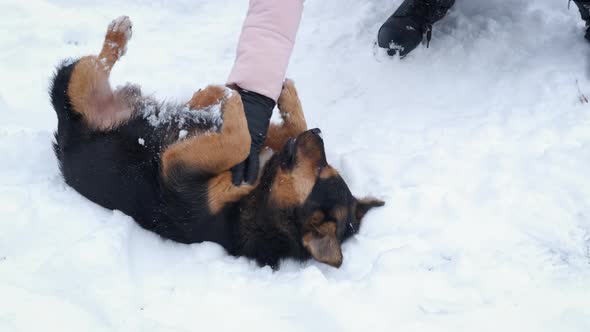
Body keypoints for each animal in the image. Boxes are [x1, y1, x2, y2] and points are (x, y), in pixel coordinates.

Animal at [49, 16, 384, 270]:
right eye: (325, 167)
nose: (319, 132)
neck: (260, 199)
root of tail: (64, 132)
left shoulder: (179, 168)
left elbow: (240, 140)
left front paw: (233, 98)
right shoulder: (262, 148)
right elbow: (275, 129)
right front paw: (278, 96)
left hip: (77, 87)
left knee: (98, 62)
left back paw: (119, 35)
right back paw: (202, 94)